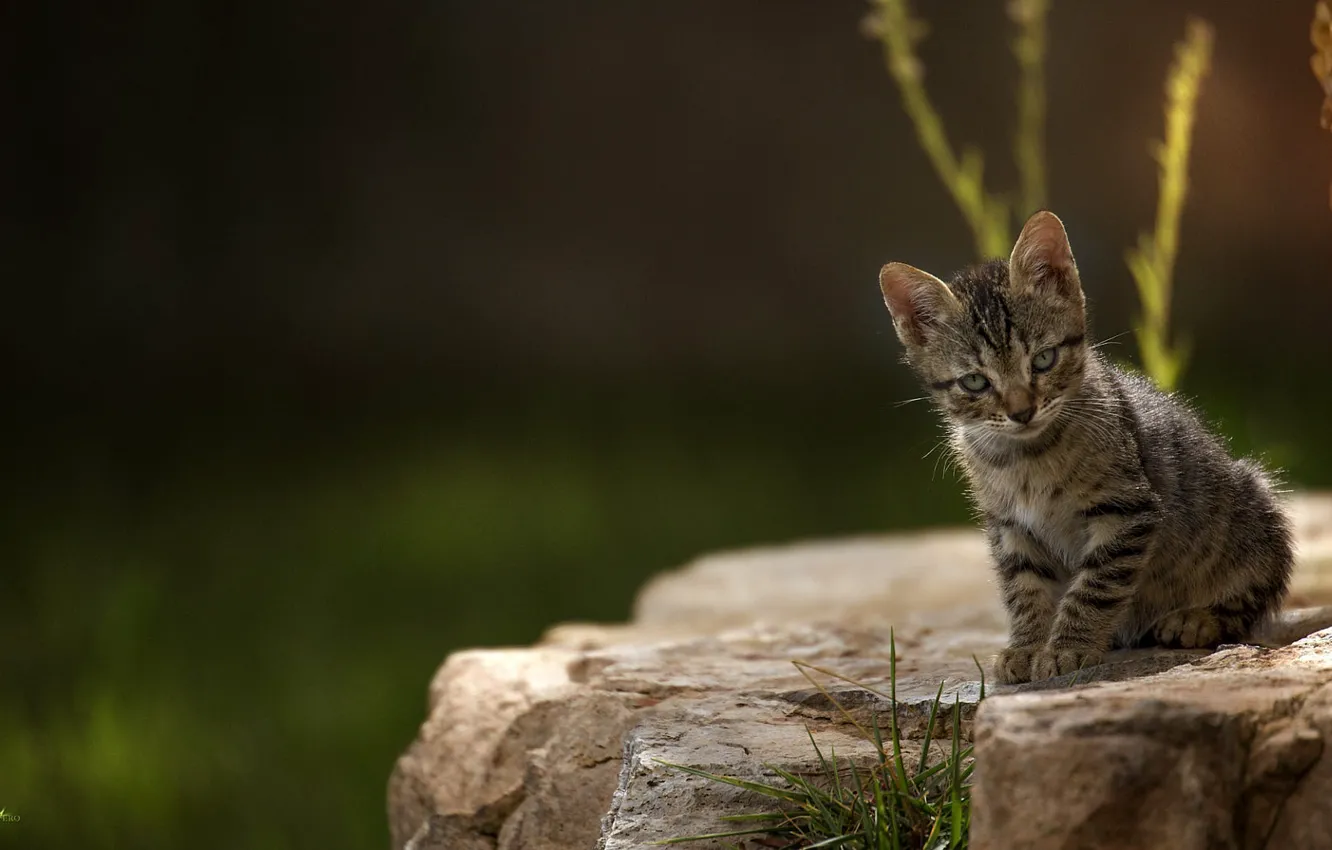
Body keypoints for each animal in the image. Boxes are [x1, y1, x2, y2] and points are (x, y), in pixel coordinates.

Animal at [873, 211, 1289, 687]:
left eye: (1043, 360)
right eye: (975, 382)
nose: (1021, 411)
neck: (1026, 457)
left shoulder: (1127, 510)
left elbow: (1095, 586)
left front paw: (1067, 647)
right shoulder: (1010, 525)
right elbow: (1024, 589)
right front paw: (1028, 646)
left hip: (1254, 505)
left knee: (1253, 596)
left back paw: (1197, 620)